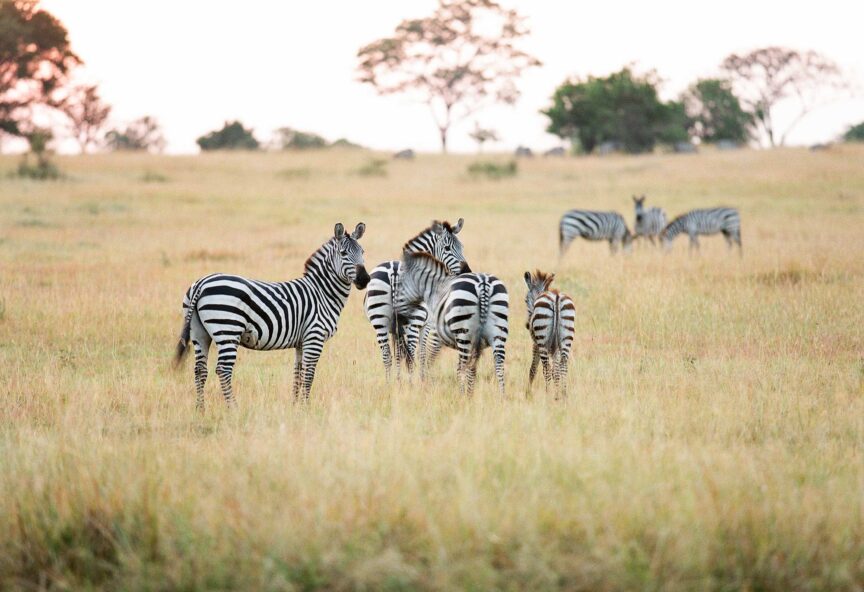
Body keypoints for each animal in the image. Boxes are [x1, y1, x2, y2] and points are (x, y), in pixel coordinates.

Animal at [172, 222, 368, 408]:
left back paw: (200, 409)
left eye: (363, 252)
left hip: (199, 333)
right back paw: (233, 408)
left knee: (200, 370)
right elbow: (309, 373)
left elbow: (298, 372)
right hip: (228, 329)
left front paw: (295, 406)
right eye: (343, 253)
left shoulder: (301, 341)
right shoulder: (314, 336)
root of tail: (201, 283)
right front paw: (306, 406)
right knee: (223, 369)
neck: (322, 293)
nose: (365, 279)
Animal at [362, 219, 470, 380]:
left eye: (461, 247)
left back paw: (389, 382)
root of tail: (394, 271)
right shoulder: (426, 325)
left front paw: (398, 380)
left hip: (379, 320)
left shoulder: (395, 329)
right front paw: (422, 379)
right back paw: (411, 382)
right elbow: (422, 353)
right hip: (413, 321)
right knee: (411, 355)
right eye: (447, 248)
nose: (467, 271)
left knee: (387, 355)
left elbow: (398, 354)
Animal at [402, 252, 510, 396]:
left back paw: (462, 395)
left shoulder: (436, 334)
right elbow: (472, 369)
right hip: (498, 331)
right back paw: (501, 396)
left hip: (464, 333)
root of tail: (483, 284)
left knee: (461, 367)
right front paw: (470, 392)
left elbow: (429, 357)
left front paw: (426, 382)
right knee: (498, 364)